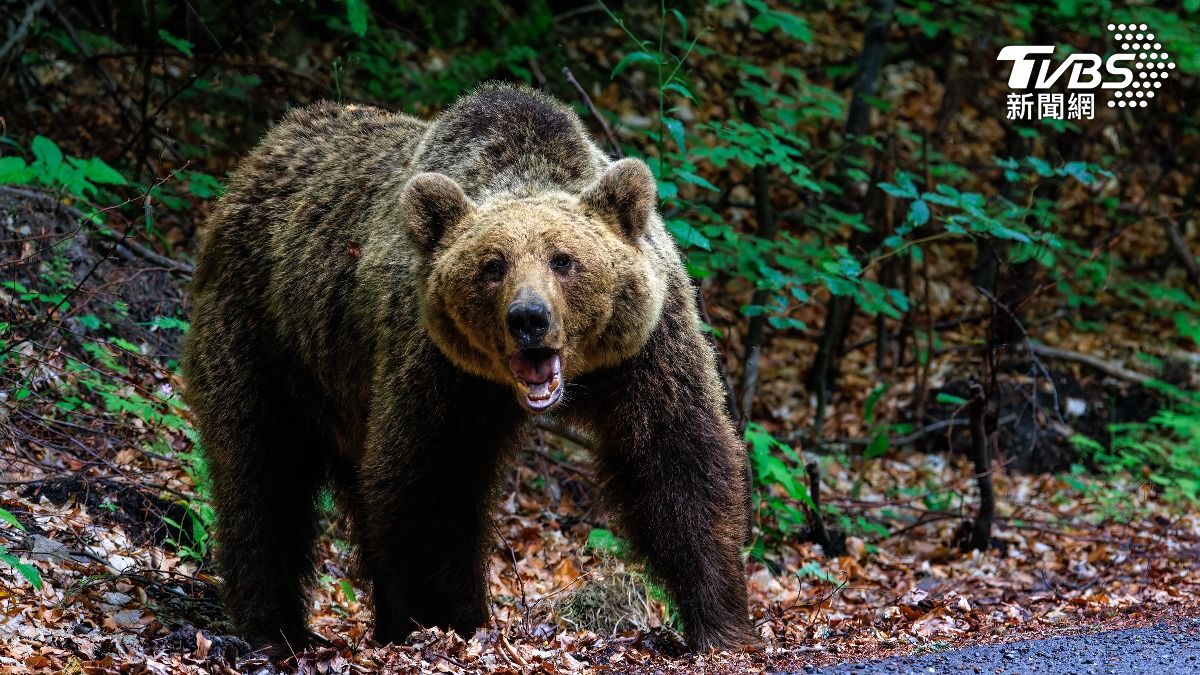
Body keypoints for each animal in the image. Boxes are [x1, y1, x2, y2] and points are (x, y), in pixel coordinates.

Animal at [182, 82, 757, 655]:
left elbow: (677, 458)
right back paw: (276, 628)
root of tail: (261, 154)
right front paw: (454, 621)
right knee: (261, 475)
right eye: (493, 265)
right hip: (264, 338)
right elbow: (431, 483)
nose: (529, 318)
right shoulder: (438, 366)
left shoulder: (645, 349)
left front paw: (719, 622)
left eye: (564, 260)